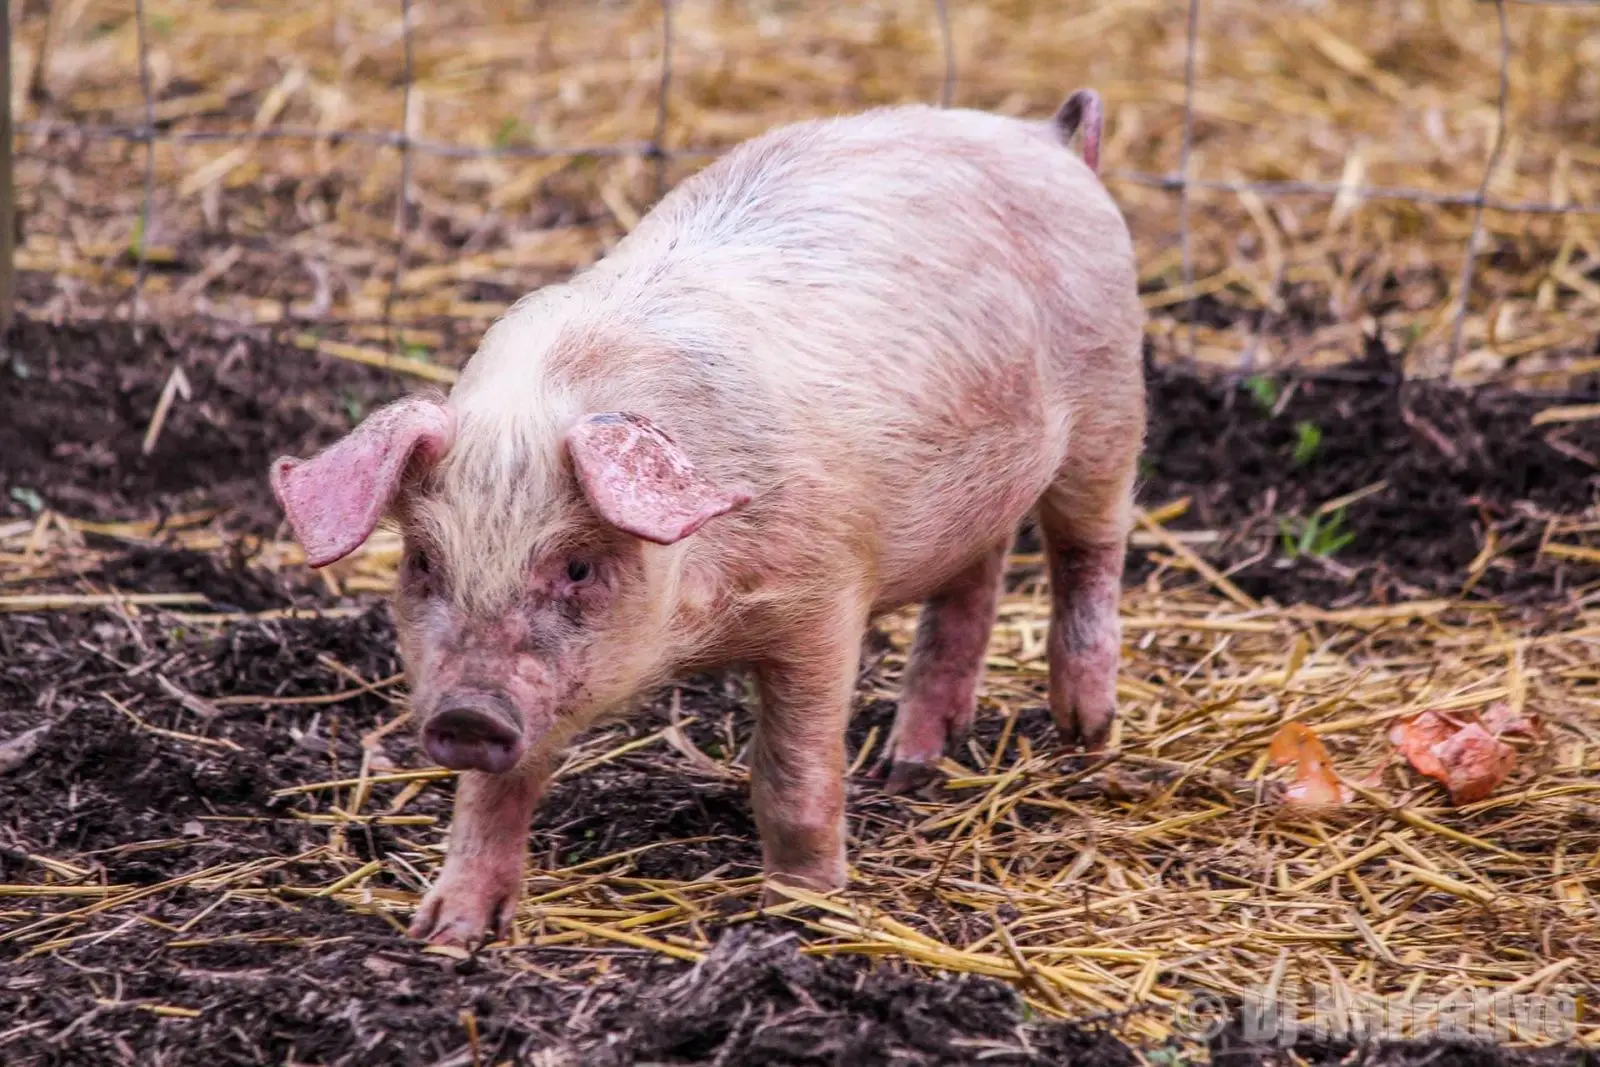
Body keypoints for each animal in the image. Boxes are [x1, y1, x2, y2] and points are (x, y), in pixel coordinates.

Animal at [268, 88, 1145, 948]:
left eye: (578, 565)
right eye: (422, 562)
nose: (467, 714)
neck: (695, 630)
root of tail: (1047, 138)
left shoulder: (824, 601)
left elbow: (793, 771)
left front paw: (799, 911)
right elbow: (495, 790)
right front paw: (448, 937)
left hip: (1109, 407)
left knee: (1088, 552)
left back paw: (1085, 734)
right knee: (975, 581)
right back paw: (906, 769)